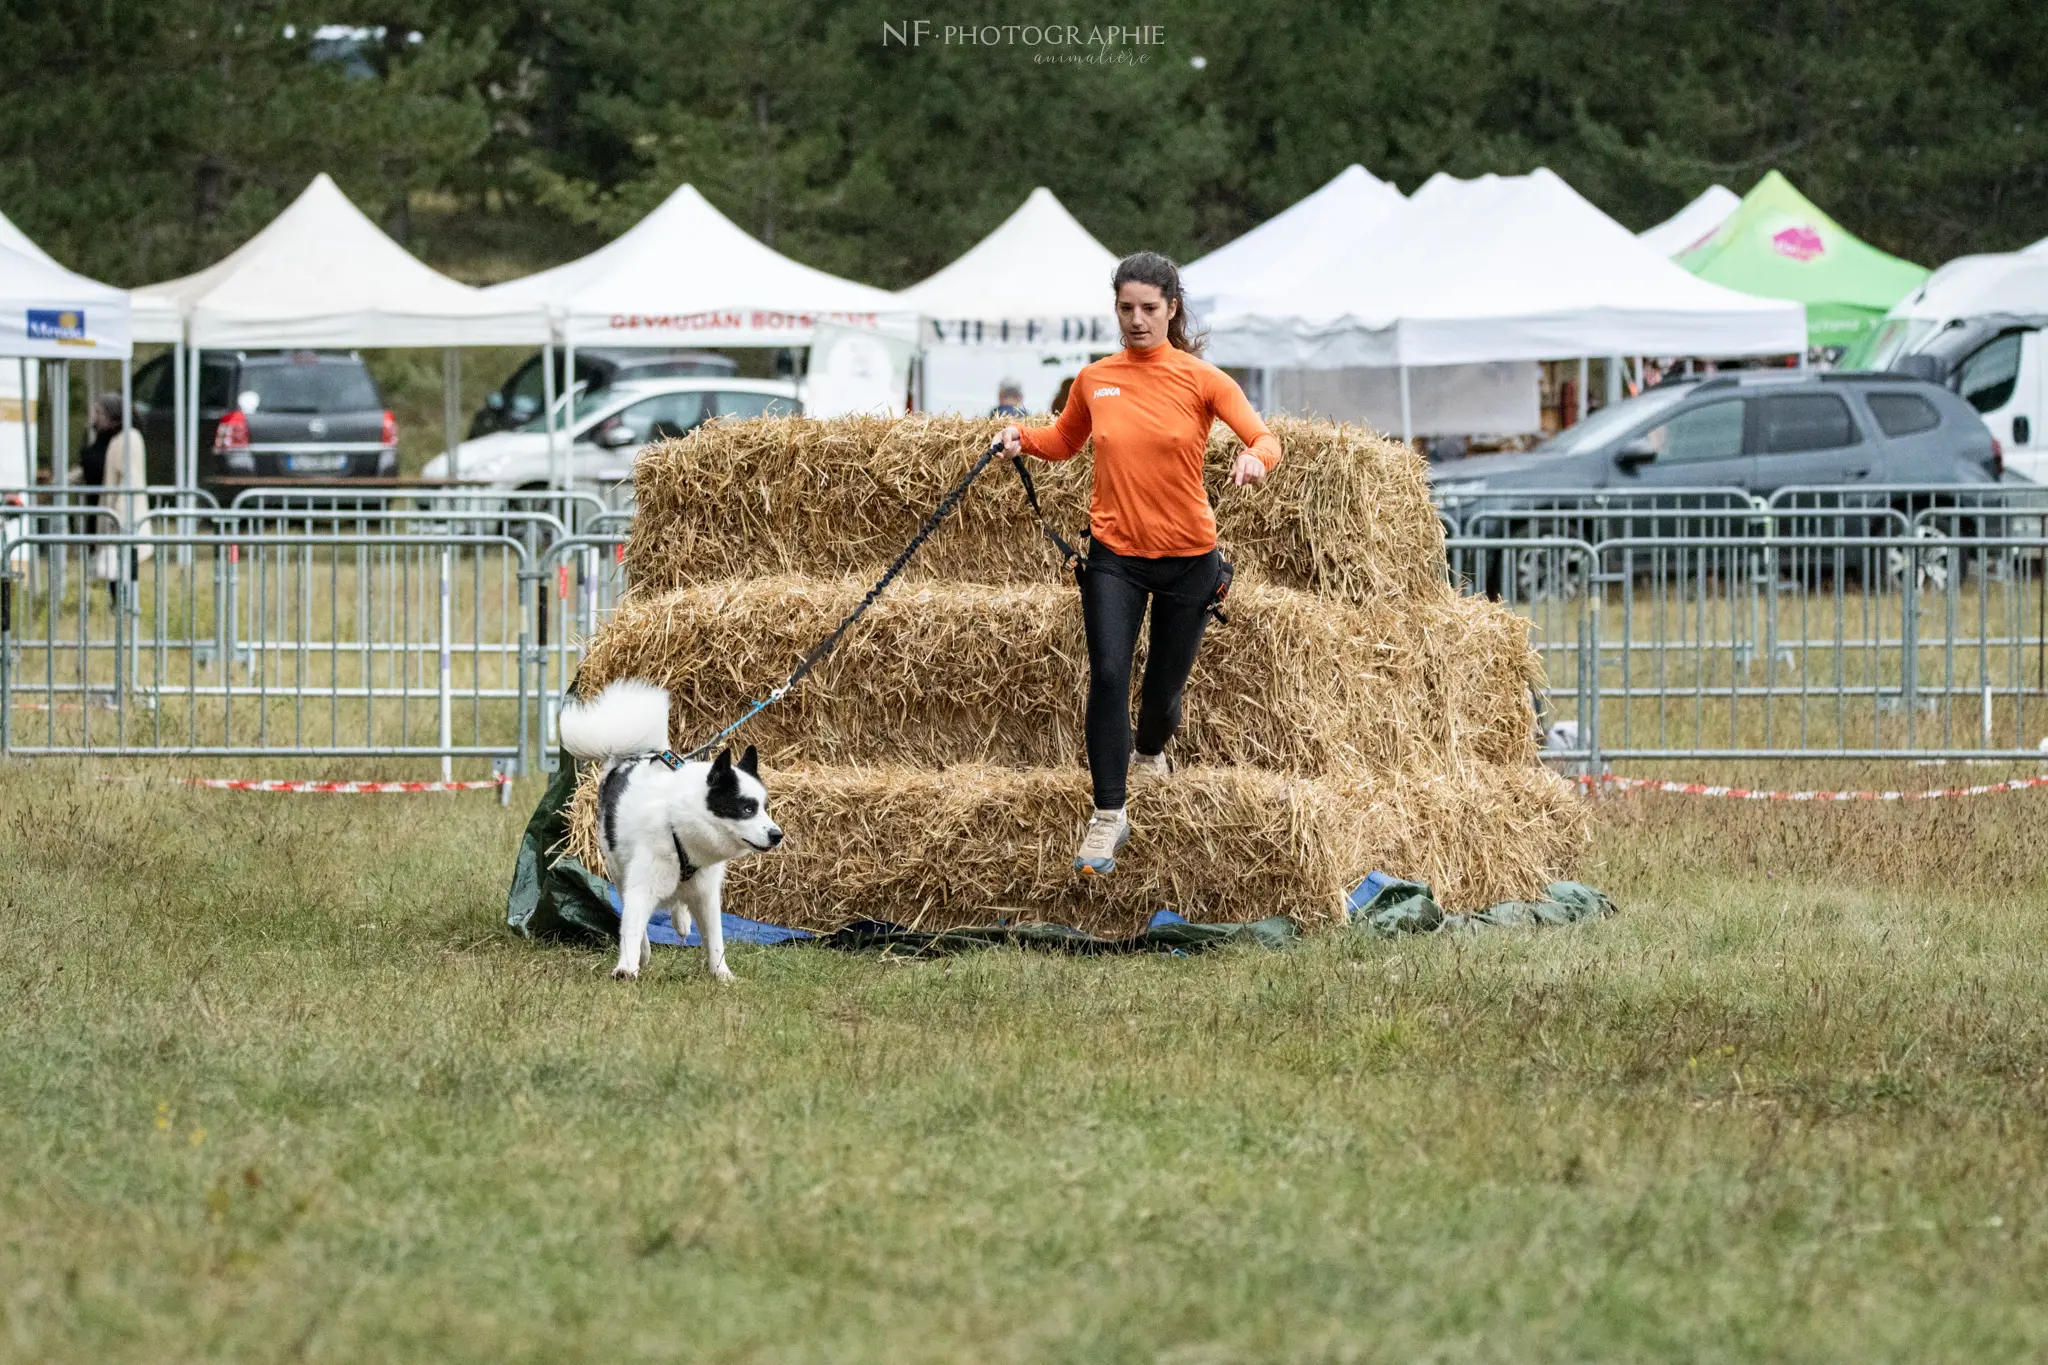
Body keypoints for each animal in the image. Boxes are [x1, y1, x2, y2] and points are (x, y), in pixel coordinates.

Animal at [557, 679, 778, 982]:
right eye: (746, 808)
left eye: (765, 807)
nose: (778, 836)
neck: (678, 825)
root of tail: (627, 758)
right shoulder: (641, 884)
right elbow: (632, 926)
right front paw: (627, 966)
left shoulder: (706, 892)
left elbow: (715, 938)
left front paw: (722, 974)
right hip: (618, 869)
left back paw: (682, 921)